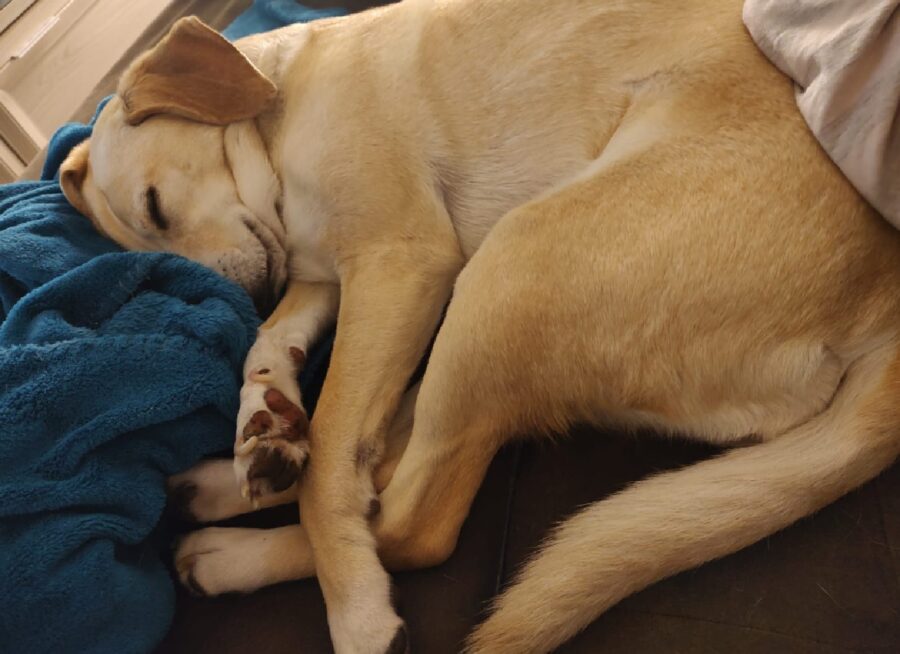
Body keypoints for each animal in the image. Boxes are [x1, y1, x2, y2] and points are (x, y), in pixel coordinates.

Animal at [58, 1, 900, 654]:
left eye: (155, 207)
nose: (241, 295)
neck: (277, 99)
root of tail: (881, 313)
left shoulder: (398, 262)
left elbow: (332, 466)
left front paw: (356, 609)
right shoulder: (330, 277)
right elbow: (278, 362)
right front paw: (262, 419)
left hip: (510, 268)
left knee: (407, 520)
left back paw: (258, 554)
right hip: (481, 314)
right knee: (386, 457)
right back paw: (229, 484)